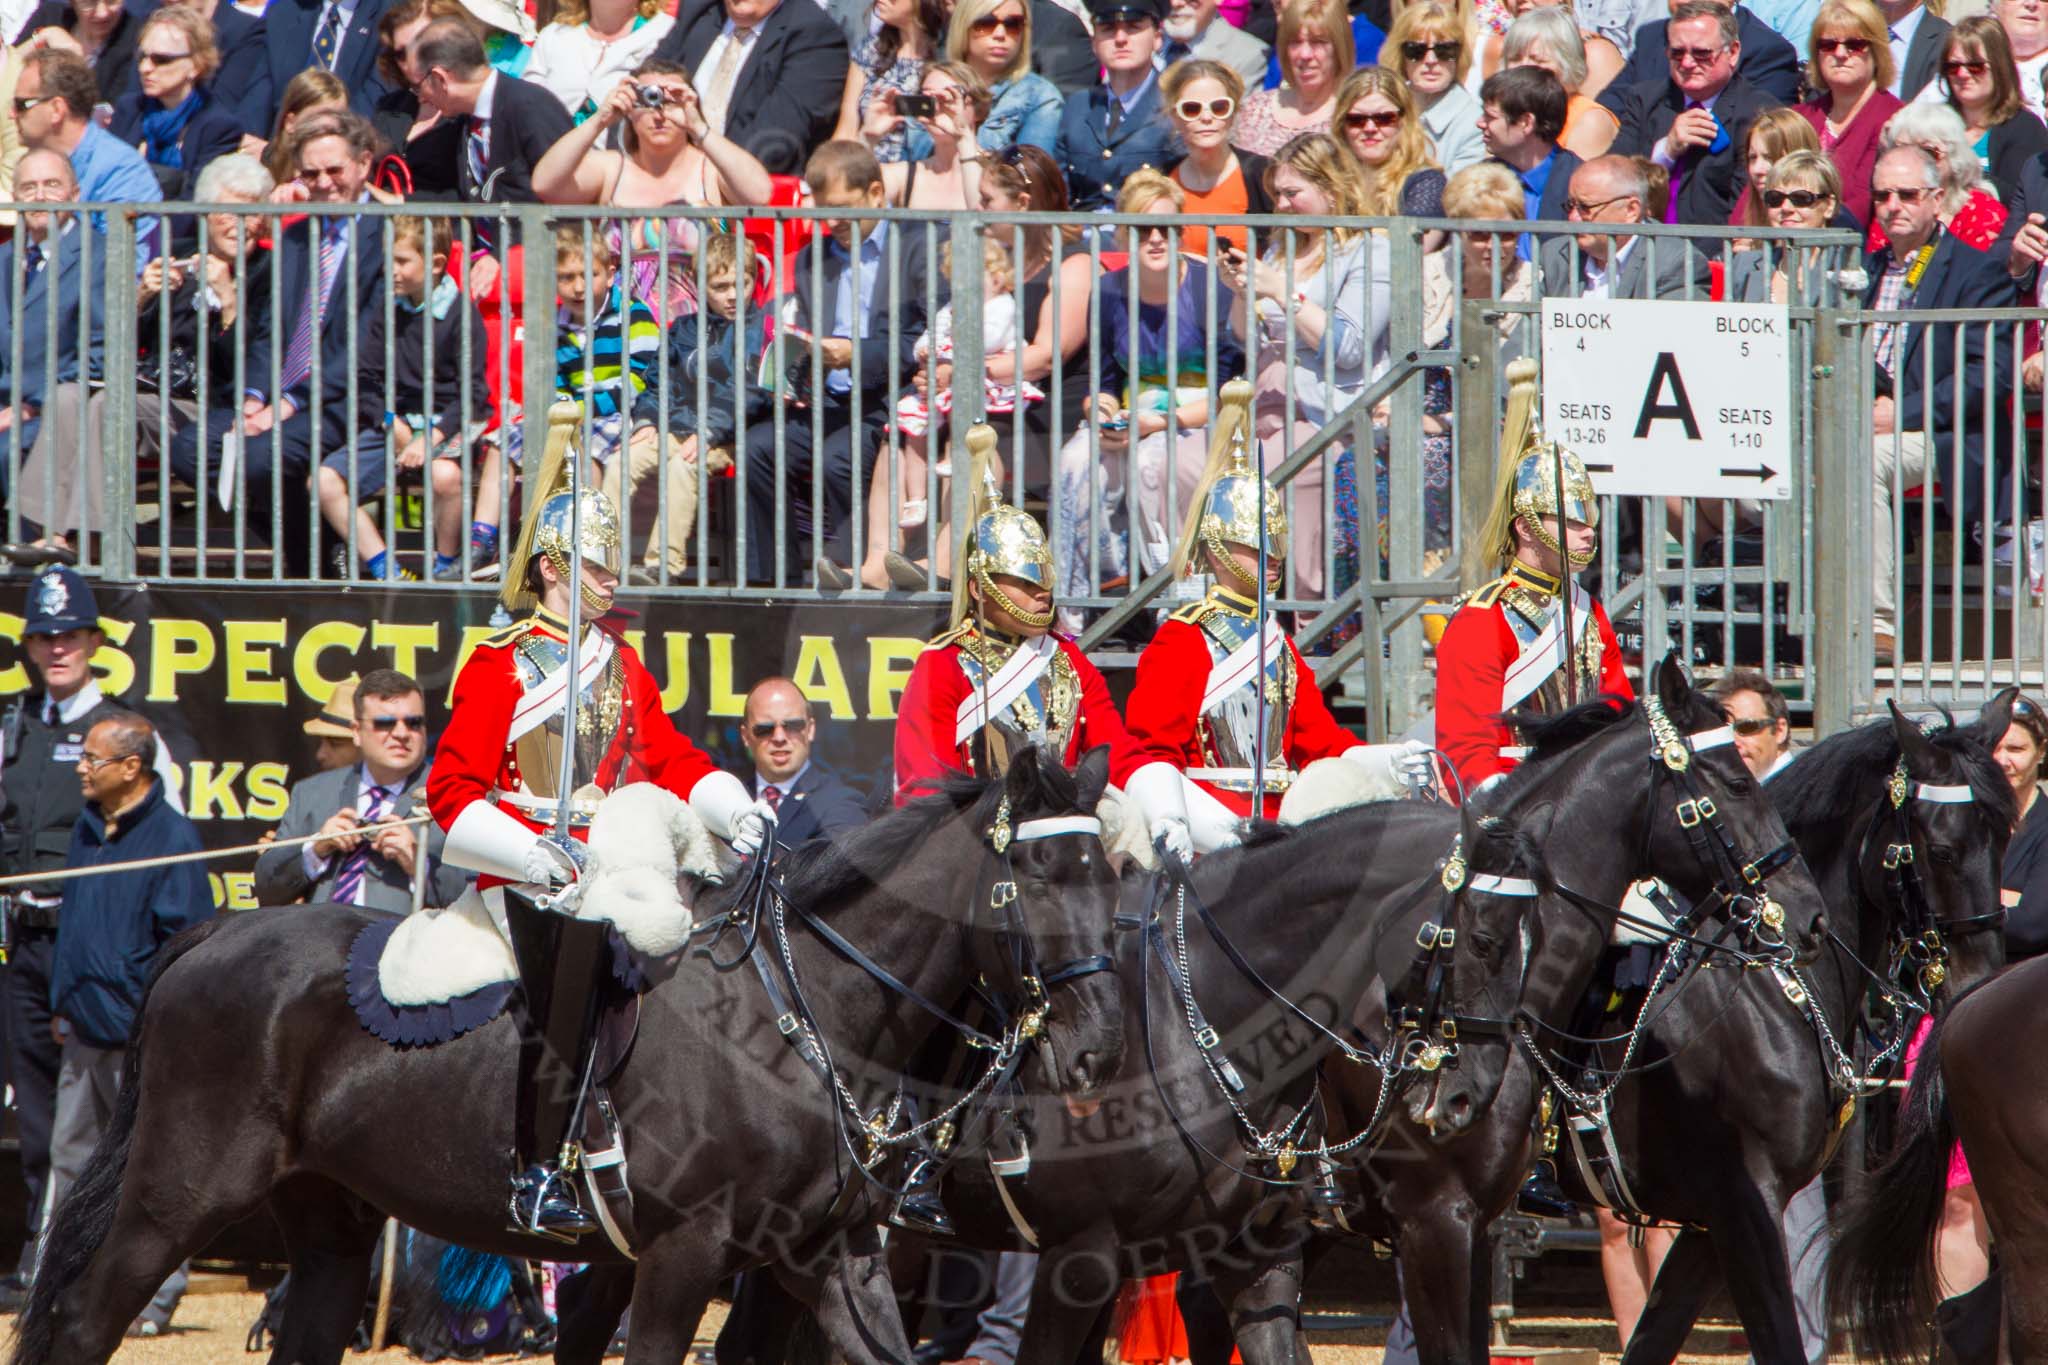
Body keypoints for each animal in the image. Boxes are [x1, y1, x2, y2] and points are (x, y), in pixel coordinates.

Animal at [12, 753, 1122, 1365]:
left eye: (1108, 870)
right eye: (1033, 870)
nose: (1097, 1047)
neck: (799, 1014)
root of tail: (216, 934)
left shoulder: (828, 1256)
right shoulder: (680, 1257)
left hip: (328, 1221)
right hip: (176, 1198)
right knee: (81, 1325)